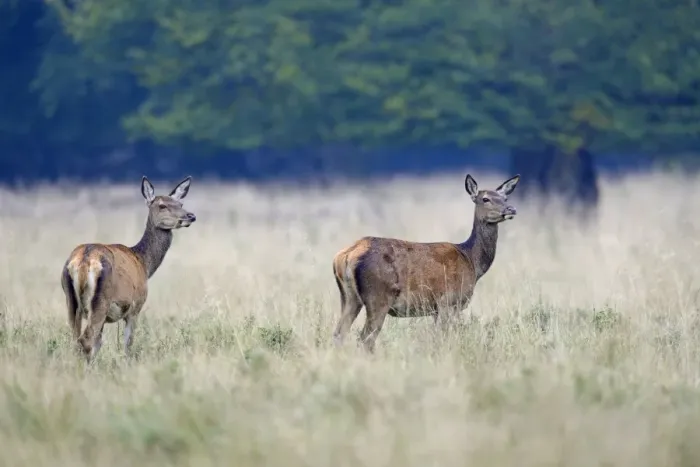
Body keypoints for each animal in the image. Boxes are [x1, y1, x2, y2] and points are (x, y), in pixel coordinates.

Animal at [60, 176, 196, 363]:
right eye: (162, 205)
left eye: (180, 204)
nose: (191, 216)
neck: (144, 263)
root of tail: (83, 262)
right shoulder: (136, 306)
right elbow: (128, 344)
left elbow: (100, 343)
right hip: (101, 301)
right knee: (86, 340)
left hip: (71, 301)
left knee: (76, 340)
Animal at [331, 173, 520, 352]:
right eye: (485, 198)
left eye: (505, 198)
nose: (511, 209)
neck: (471, 261)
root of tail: (346, 256)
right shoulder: (449, 302)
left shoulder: (436, 309)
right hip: (378, 296)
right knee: (365, 338)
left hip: (348, 297)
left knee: (339, 334)